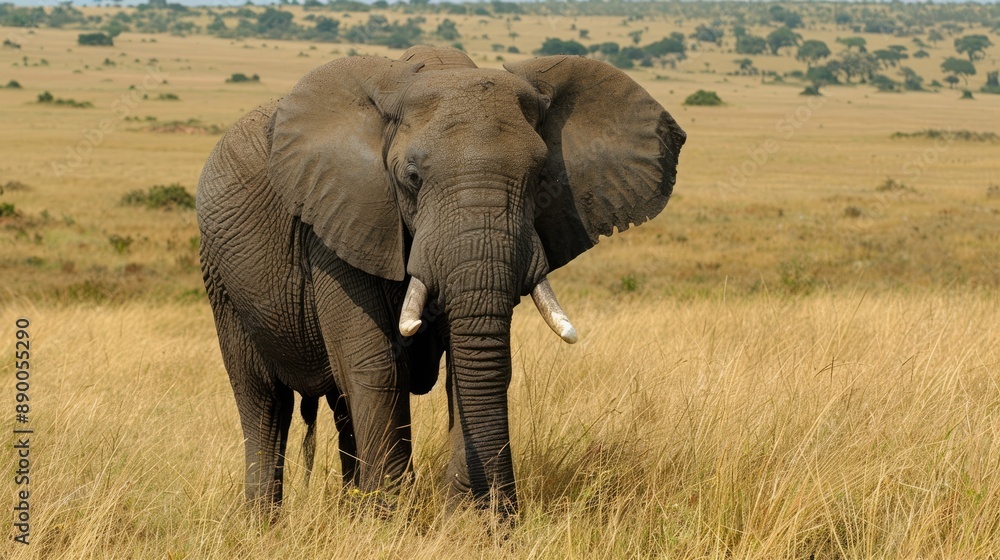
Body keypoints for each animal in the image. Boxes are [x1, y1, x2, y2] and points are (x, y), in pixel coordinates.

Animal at [196, 45, 685, 517]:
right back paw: (267, 525)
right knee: (264, 403)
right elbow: (375, 365)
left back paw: (351, 510)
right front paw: (396, 524)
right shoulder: (339, 218)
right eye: (412, 177)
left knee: (337, 407)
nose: (507, 518)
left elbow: (470, 364)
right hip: (220, 280)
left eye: (540, 177)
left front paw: (462, 522)